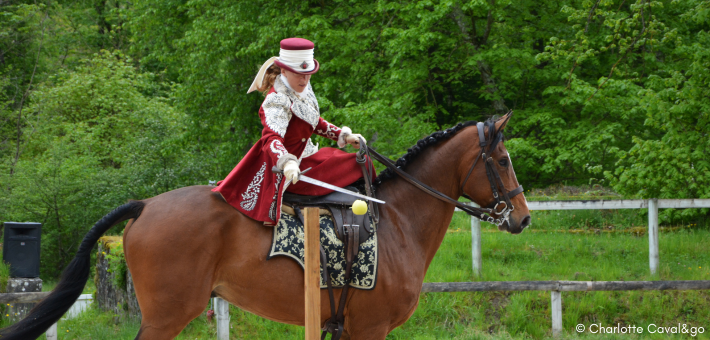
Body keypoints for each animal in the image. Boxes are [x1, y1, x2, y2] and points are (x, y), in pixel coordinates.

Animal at [2, 113, 532, 338]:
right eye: (504, 161)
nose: (524, 218)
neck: (398, 219)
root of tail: (147, 205)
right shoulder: (371, 329)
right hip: (167, 316)